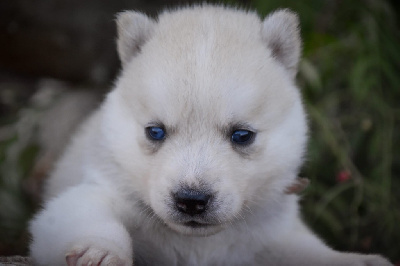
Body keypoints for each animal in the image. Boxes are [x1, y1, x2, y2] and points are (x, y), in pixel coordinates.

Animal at [29, 4, 392, 266]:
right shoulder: (95, 191)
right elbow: (91, 214)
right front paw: (100, 252)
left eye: (242, 135)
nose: (191, 200)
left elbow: (310, 251)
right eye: (155, 131)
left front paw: (358, 260)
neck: (199, 245)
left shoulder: (273, 235)